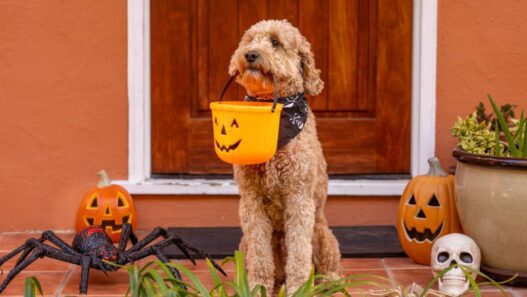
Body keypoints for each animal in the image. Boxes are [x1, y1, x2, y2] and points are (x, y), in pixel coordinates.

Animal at [228, 19, 342, 292]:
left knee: (326, 263)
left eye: (275, 42)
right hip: (243, 244)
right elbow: (260, 254)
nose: (250, 54)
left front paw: (298, 289)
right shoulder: (251, 200)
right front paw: (257, 287)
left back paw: (329, 281)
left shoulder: (299, 197)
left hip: (323, 234)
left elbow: (299, 252)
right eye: (250, 40)